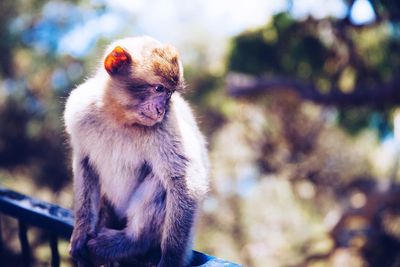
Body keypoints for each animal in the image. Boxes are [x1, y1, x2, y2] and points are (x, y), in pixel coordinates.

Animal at [63, 36, 208, 267]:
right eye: (159, 89)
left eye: (169, 93)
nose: (161, 110)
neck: (119, 118)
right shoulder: (78, 110)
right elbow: (85, 163)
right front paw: (81, 232)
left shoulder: (165, 127)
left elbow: (185, 184)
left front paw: (171, 258)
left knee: (161, 183)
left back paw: (133, 242)